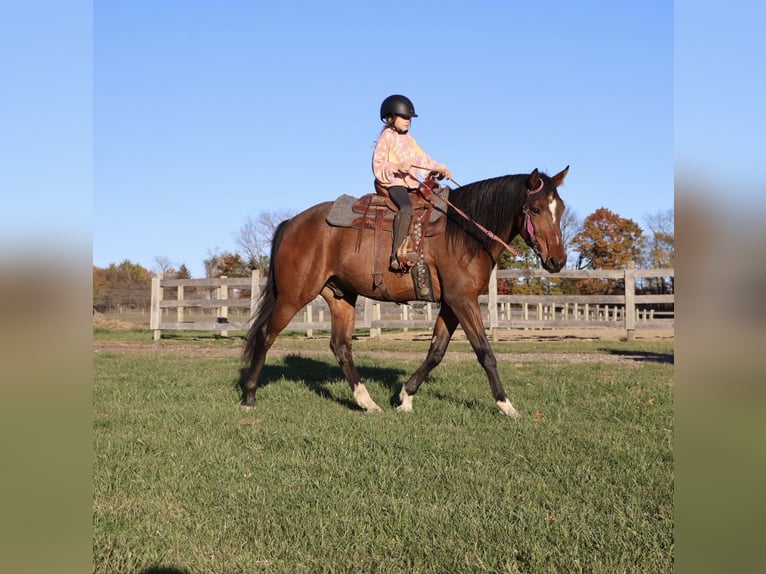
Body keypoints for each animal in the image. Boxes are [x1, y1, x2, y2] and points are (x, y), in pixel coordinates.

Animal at [242, 166, 569, 417]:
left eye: (561, 209)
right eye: (536, 209)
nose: (558, 260)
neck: (464, 233)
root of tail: (292, 223)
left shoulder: (451, 303)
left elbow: (436, 351)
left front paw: (405, 397)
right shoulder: (462, 300)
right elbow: (485, 352)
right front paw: (506, 405)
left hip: (340, 297)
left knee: (341, 346)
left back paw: (367, 402)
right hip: (294, 295)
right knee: (265, 335)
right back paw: (249, 397)